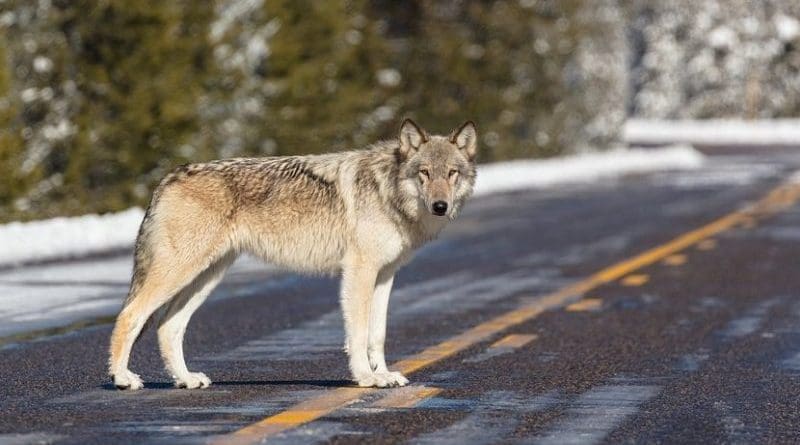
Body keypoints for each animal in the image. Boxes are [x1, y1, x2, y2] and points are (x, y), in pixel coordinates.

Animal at [109, 118, 478, 388]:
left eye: (451, 174)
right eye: (424, 173)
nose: (441, 206)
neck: (388, 192)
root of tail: (167, 178)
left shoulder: (385, 275)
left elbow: (378, 334)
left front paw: (384, 374)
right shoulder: (359, 271)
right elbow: (358, 333)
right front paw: (366, 378)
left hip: (207, 277)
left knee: (167, 326)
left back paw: (186, 379)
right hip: (180, 273)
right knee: (130, 314)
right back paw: (123, 378)